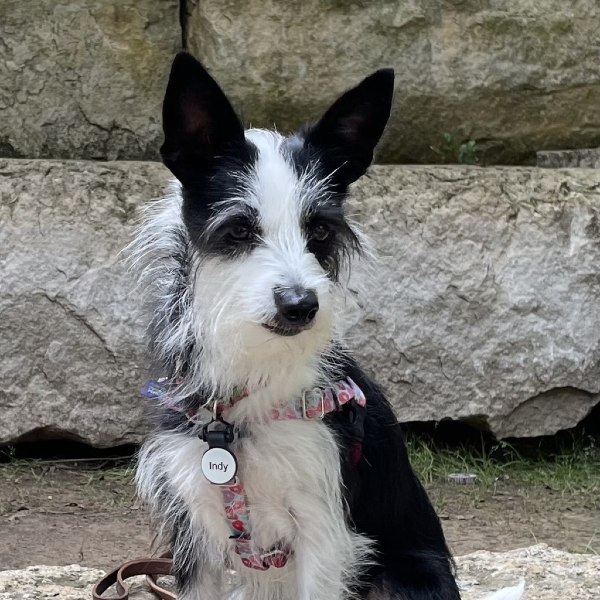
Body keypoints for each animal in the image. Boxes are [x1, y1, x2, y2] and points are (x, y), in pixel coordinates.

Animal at [131, 51, 524, 600]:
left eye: (318, 229)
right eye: (239, 229)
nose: (300, 305)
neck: (242, 407)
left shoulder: (322, 529)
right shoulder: (194, 529)